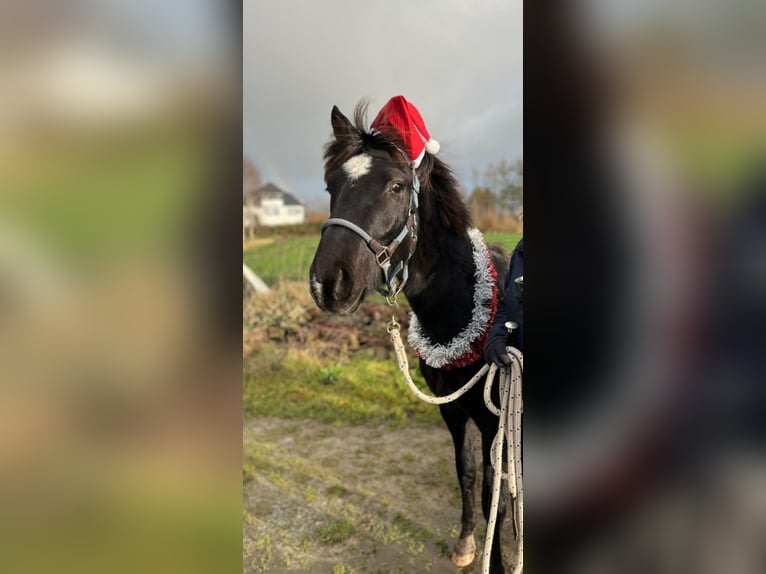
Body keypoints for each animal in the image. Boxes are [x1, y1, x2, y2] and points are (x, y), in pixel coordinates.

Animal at [308, 101, 512, 572]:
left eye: (397, 186)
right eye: (331, 185)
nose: (328, 283)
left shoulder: (494, 420)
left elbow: (493, 492)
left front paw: (495, 558)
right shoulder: (453, 412)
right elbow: (466, 473)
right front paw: (466, 543)